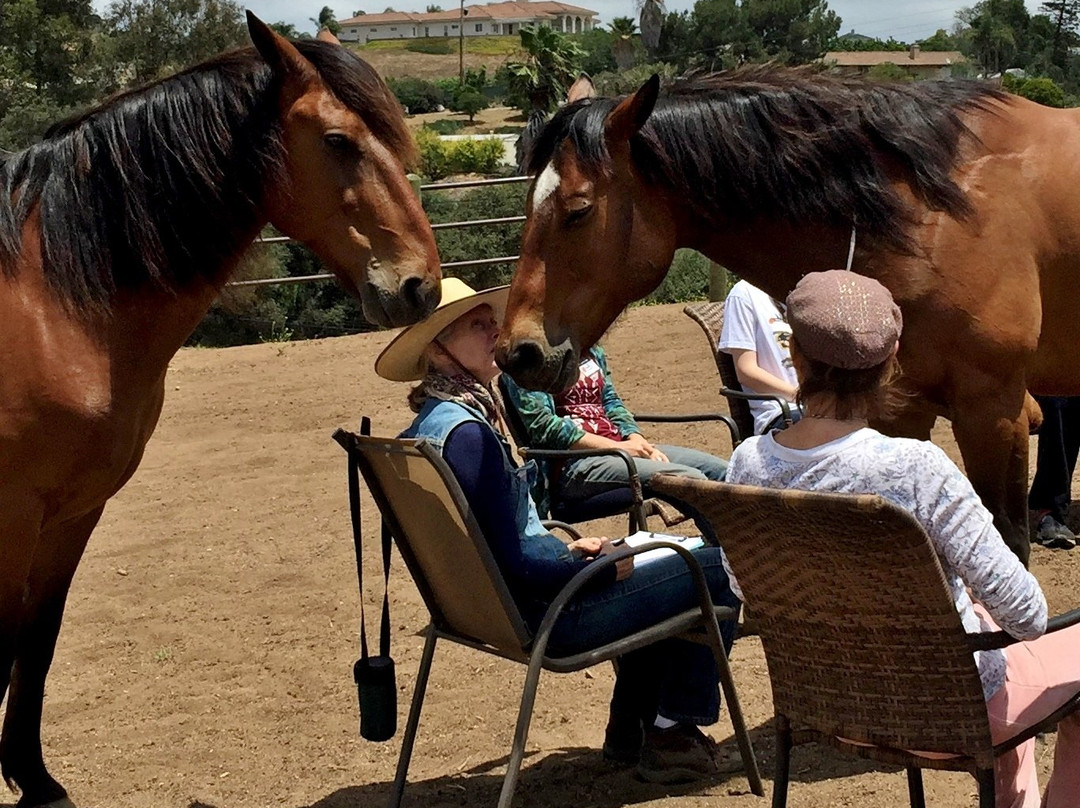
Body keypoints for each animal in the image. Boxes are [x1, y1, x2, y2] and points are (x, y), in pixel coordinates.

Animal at [0, 14, 439, 808]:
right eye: (338, 141)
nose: (420, 284)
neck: (48, 303)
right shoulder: (14, 514)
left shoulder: (73, 513)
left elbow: (36, 642)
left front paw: (38, 781)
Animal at [495, 65, 1080, 568]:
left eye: (578, 209)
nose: (517, 352)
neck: (928, 214)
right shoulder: (901, 409)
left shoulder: (994, 410)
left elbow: (1010, 543)